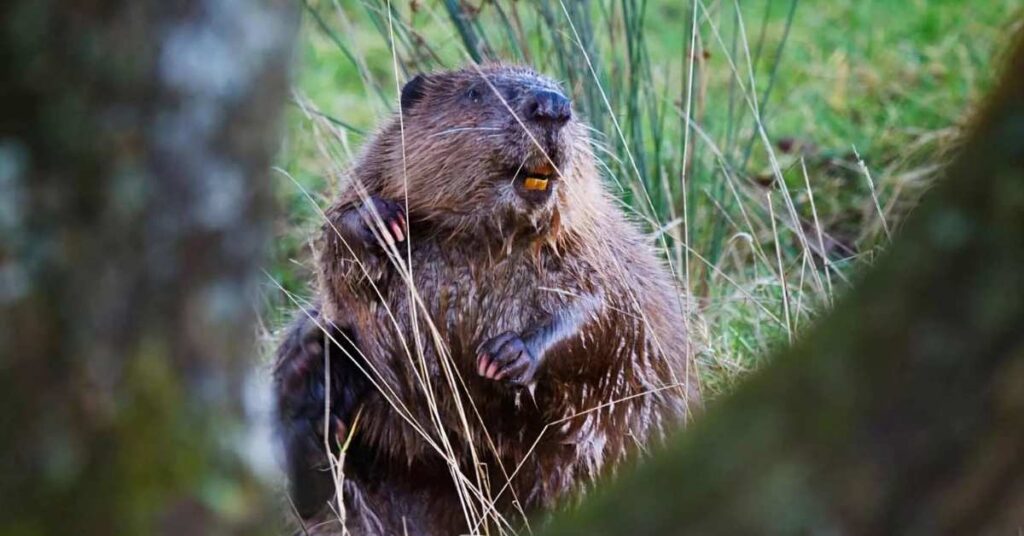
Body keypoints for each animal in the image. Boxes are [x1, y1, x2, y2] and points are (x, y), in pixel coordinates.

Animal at [274, 65, 704, 532]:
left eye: (562, 92)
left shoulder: (592, 243)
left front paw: (505, 356)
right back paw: (313, 378)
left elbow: (603, 307)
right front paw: (378, 220)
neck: (486, 240)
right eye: (475, 92)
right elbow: (337, 257)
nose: (552, 106)